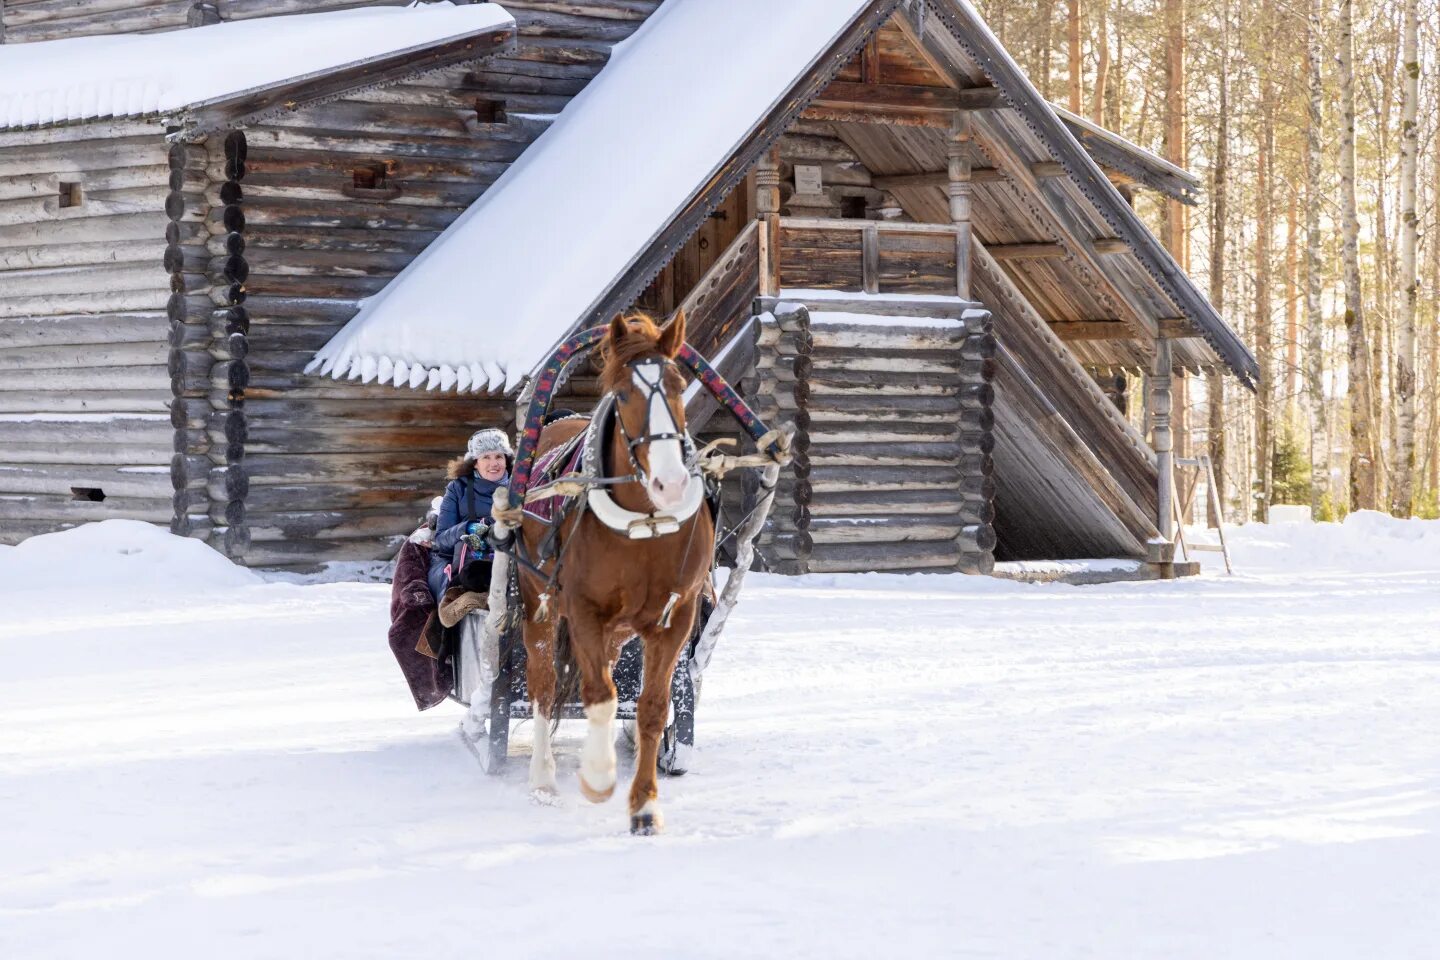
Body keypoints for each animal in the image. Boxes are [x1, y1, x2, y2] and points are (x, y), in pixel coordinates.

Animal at [524, 309, 714, 834]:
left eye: (679, 384)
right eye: (624, 393)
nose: (671, 484)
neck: (645, 524)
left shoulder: (675, 617)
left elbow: (651, 708)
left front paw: (644, 805)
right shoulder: (582, 609)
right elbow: (599, 695)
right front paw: (597, 778)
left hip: (620, 626)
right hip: (537, 604)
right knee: (545, 684)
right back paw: (544, 778)